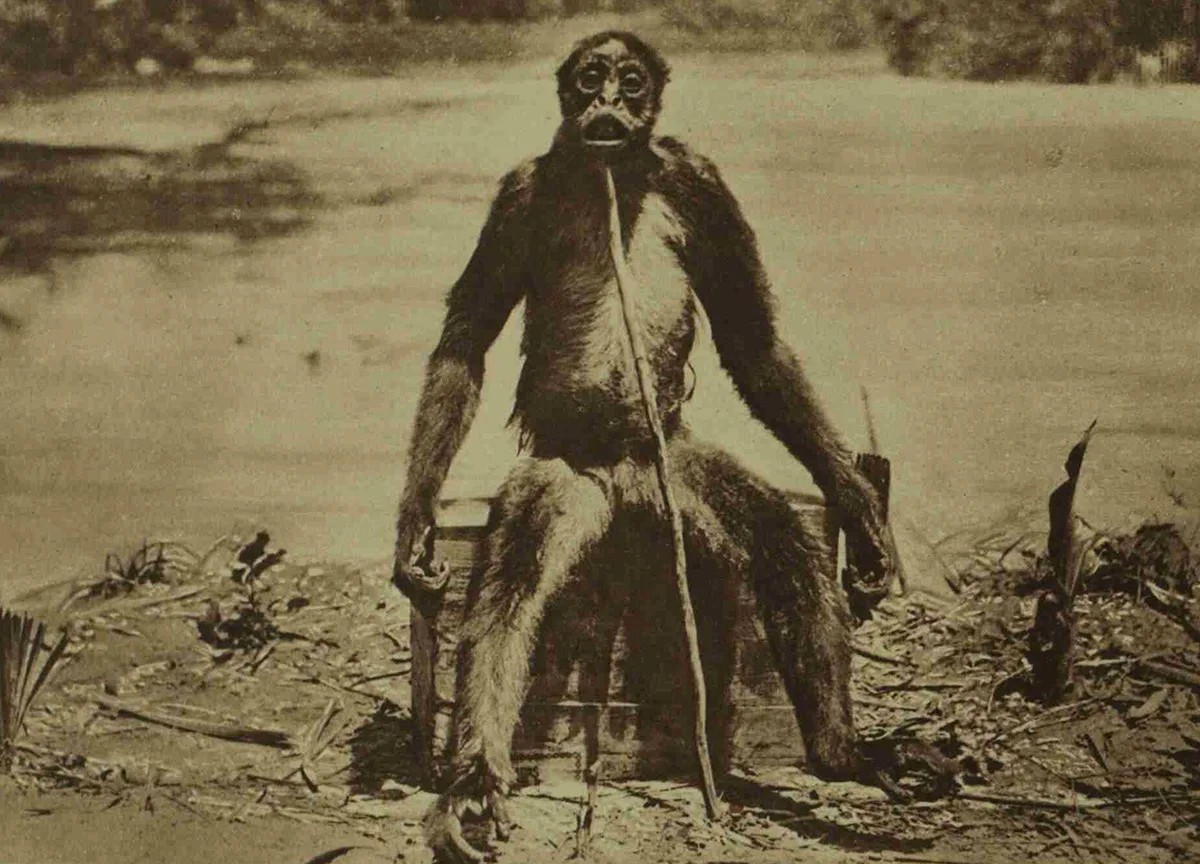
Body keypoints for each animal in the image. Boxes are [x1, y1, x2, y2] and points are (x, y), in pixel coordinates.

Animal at [393, 31, 897, 862]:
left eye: (630, 84)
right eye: (590, 80)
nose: (605, 106)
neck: (613, 179)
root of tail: (627, 477)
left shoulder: (699, 180)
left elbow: (752, 340)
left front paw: (858, 506)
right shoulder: (519, 192)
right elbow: (465, 339)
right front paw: (414, 522)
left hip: (674, 462)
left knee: (782, 540)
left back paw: (841, 756)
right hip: (566, 471)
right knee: (510, 586)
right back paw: (475, 781)